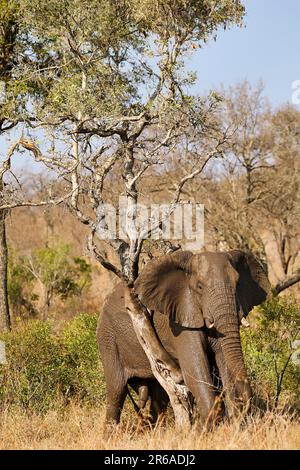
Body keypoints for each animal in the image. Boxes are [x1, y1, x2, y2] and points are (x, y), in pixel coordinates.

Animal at [97, 250, 270, 430]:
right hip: (107, 339)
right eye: (199, 287)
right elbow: (193, 369)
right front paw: (206, 428)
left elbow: (222, 359)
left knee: (159, 395)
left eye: (237, 284)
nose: (247, 399)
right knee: (116, 391)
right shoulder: (180, 320)